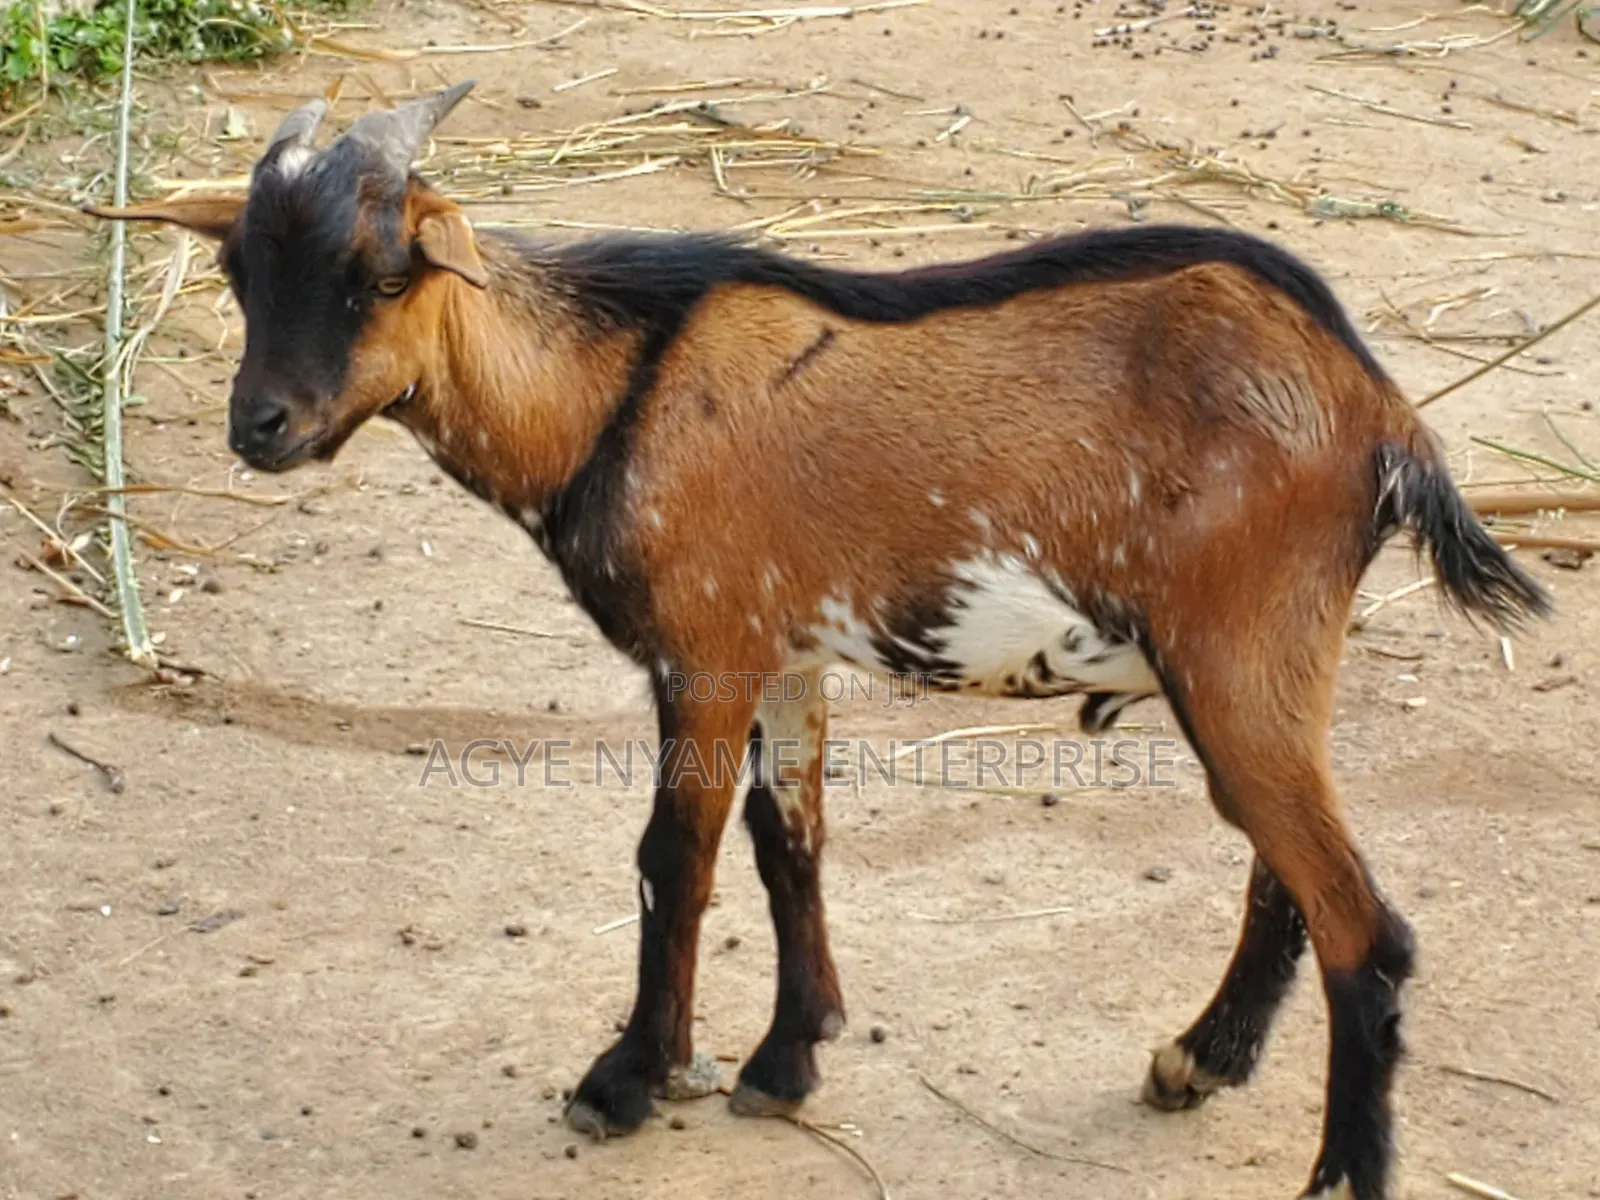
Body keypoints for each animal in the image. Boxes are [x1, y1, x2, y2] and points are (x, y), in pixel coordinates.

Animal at [91, 82, 1550, 1200]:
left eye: (383, 274)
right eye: (238, 272)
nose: (261, 427)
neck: (609, 390)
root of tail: (1380, 410)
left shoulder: (705, 644)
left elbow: (672, 858)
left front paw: (626, 1080)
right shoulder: (787, 650)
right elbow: (785, 841)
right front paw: (789, 1059)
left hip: (1239, 648)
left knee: (1365, 923)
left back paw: (1336, 1165)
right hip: (1255, 665)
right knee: (1284, 873)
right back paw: (1197, 1062)